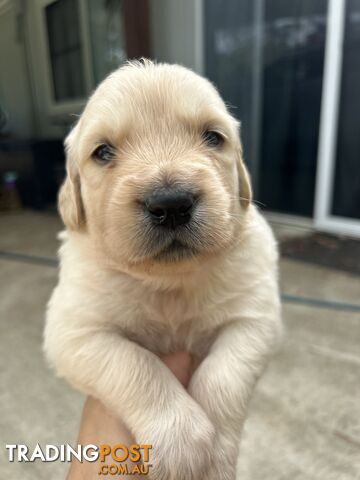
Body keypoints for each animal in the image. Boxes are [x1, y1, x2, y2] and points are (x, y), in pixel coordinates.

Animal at [45, 61, 282, 480]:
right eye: (102, 152)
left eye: (213, 137)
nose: (171, 204)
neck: (169, 282)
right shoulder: (74, 330)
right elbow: (135, 364)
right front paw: (181, 439)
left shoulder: (256, 318)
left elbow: (223, 374)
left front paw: (216, 453)